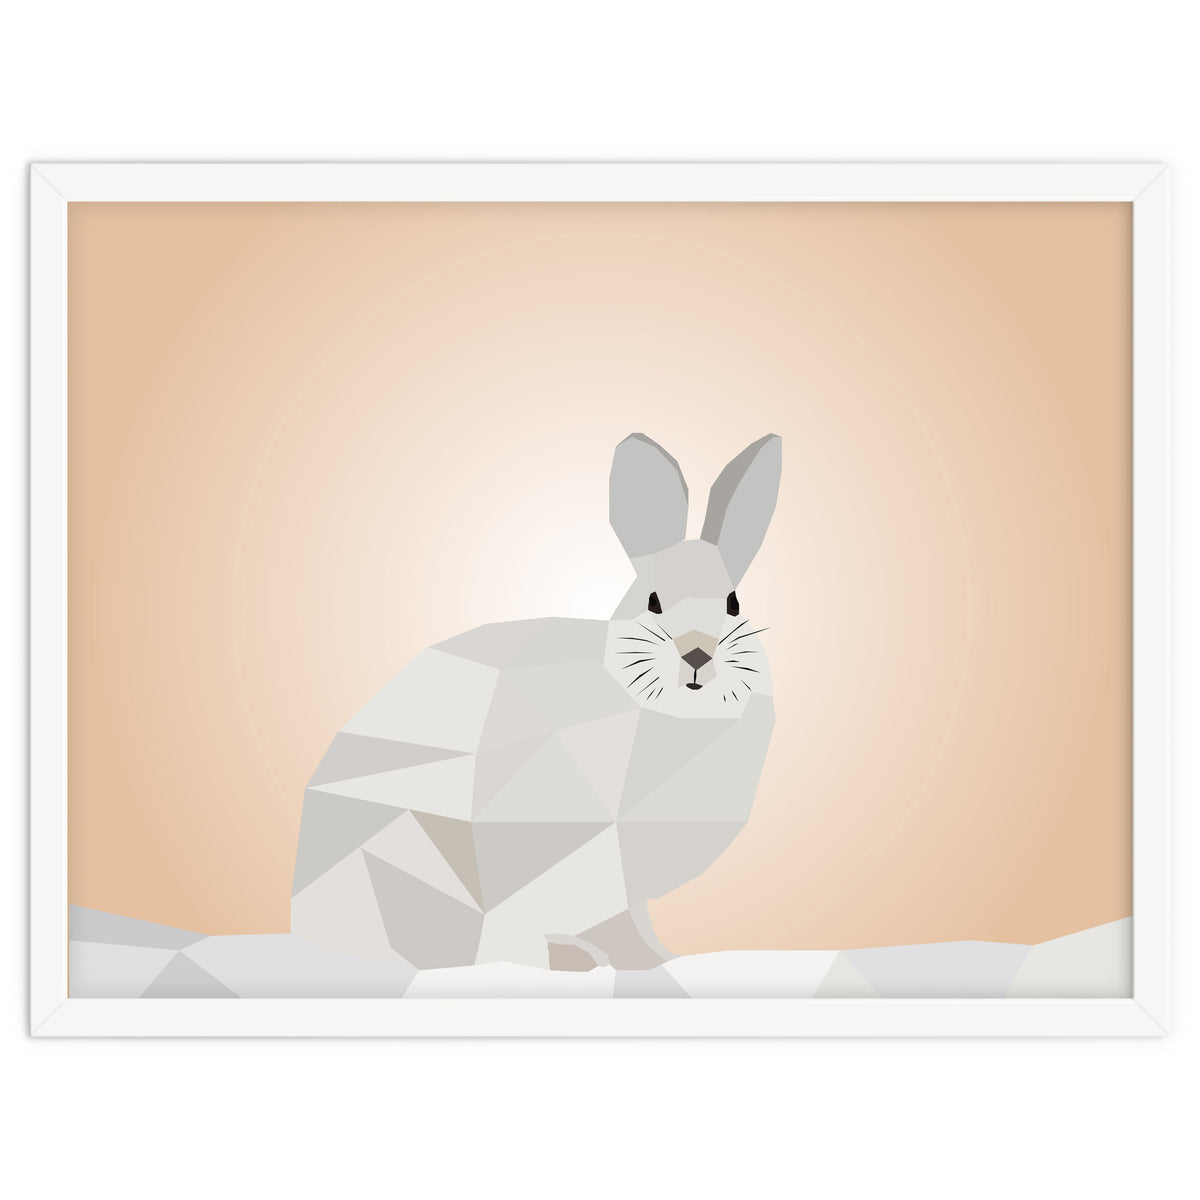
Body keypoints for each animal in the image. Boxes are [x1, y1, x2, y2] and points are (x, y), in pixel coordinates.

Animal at [290, 433, 781, 971]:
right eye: (652, 602)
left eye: (733, 604)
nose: (698, 653)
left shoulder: (622, 888)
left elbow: (632, 926)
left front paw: (657, 960)